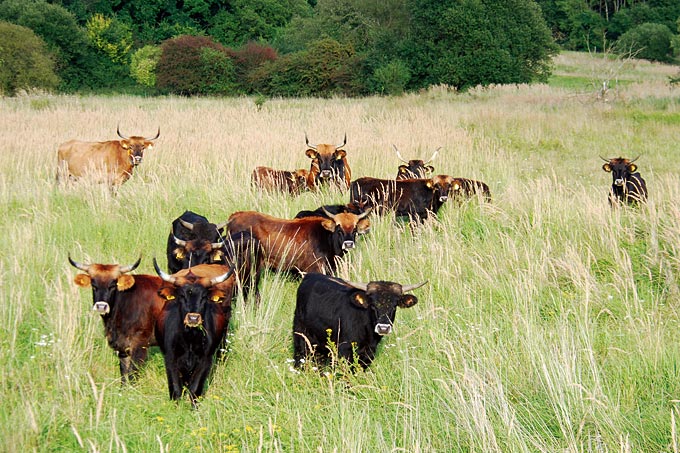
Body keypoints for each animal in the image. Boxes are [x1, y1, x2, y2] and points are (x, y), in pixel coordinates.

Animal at [69, 254, 166, 382]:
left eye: (112, 285)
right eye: (93, 285)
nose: (101, 306)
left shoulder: (140, 344)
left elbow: (132, 374)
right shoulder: (122, 348)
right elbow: (124, 374)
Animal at [154, 260, 234, 404]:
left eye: (204, 297)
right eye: (181, 295)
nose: (193, 318)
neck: (189, 340)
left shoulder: (205, 360)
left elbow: (195, 389)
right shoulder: (170, 359)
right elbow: (176, 389)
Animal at [292, 270, 424, 370]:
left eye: (394, 306)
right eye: (372, 305)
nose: (383, 328)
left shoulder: (369, 354)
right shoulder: (344, 351)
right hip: (300, 335)